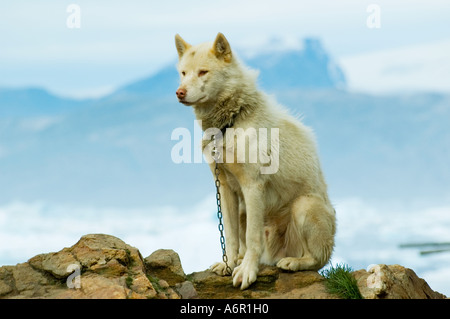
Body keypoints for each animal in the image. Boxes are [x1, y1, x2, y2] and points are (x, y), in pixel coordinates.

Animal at [174, 32, 336, 290]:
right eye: (183, 73)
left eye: (202, 72)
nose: (179, 92)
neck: (232, 120)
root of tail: (276, 255)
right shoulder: (225, 188)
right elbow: (230, 236)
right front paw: (229, 264)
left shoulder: (252, 186)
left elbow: (252, 237)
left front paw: (247, 272)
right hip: (243, 209)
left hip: (304, 205)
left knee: (317, 259)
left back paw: (293, 262)